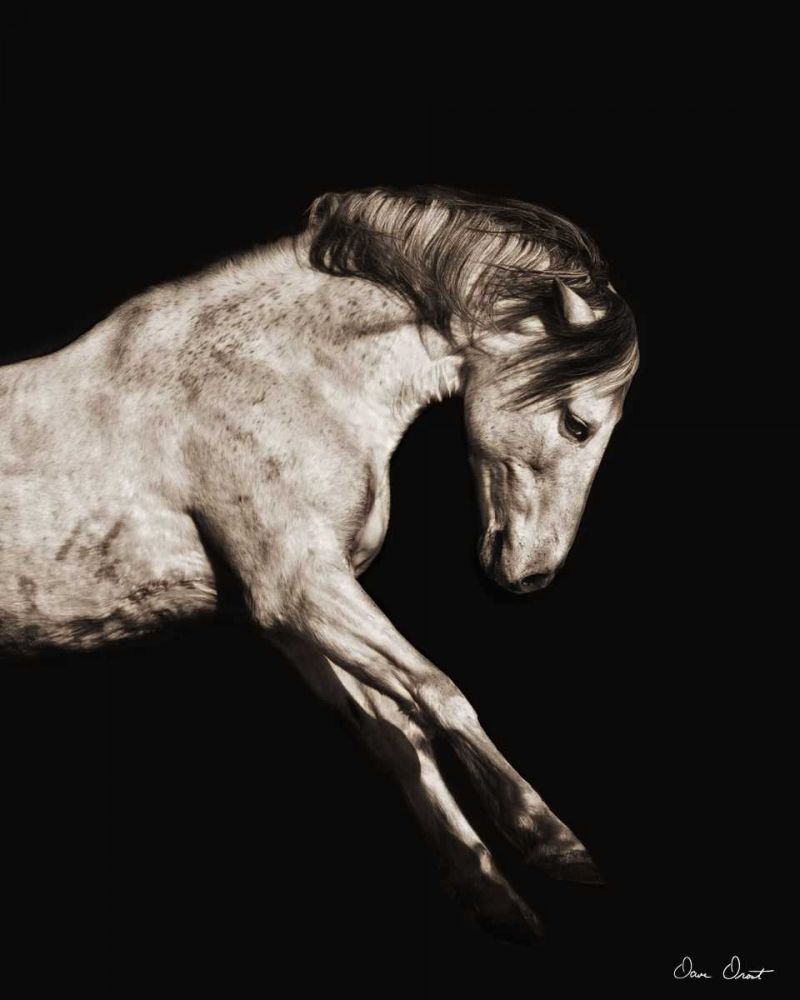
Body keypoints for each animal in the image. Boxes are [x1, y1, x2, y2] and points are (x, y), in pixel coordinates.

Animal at [0, 186, 638, 945]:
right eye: (577, 424)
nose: (532, 574)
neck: (274, 376)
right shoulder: (299, 587)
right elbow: (440, 691)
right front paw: (553, 841)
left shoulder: (293, 619)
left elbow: (399, 734)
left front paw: (494, 895)